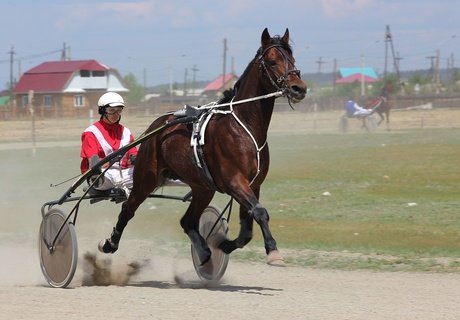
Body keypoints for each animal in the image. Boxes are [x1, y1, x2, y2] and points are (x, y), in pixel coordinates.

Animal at [98, 28, 306, 266]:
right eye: (272, 61)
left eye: (292, 60)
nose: (299, 88)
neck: (244, 127)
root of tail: (157, 126)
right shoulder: (235, 181)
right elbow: (260, 212)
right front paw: (273, 251)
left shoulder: (253, 185)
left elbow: (247, 229)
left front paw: (222, 244)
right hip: (146, 178)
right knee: (128, 209)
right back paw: (110, 243)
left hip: (202, 187)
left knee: (187, 221)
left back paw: (205, 251)